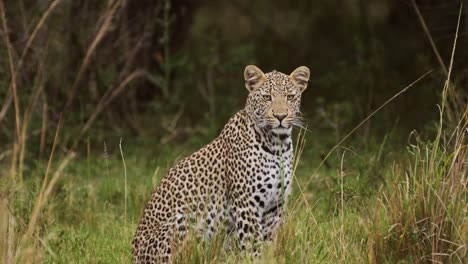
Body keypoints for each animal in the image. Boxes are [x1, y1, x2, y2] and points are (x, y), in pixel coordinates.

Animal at [131, 65, 310, 262]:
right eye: (267, 97)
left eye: (290, 97)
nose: (280, 116)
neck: (278, 145)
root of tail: (133, 255)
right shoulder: (247, 204)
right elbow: (252, 244)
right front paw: (254, 259)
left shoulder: (274, 207)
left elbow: (268, 243)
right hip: (186, 221)